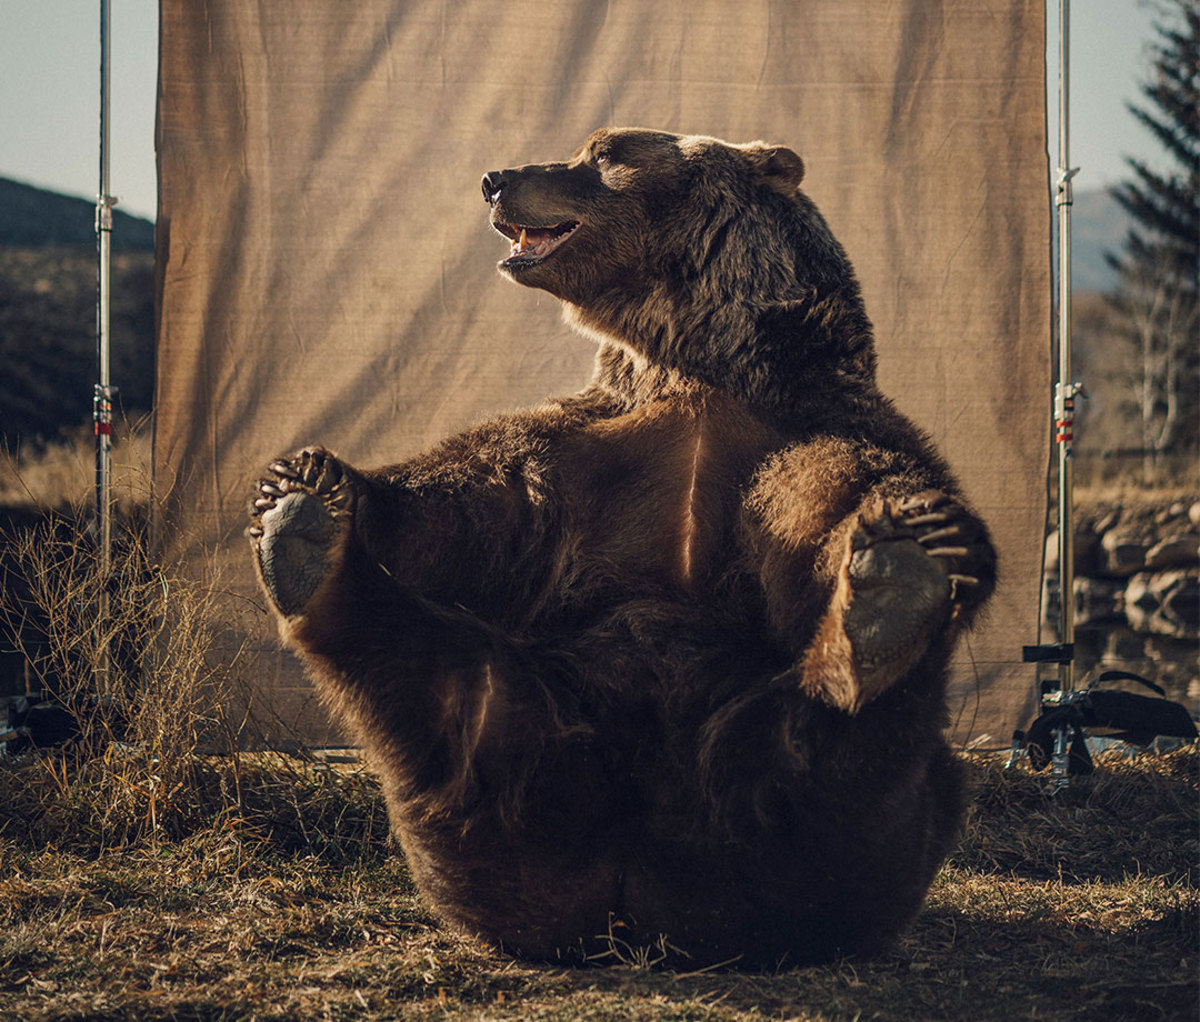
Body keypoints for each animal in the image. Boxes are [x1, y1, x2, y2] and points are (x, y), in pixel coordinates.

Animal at [250, 127, 993, 964]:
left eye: (604, 151)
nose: (494, 176)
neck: (691, 353)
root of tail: (651, 912)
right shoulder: (579, 447)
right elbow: (469, 498)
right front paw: (314, 475)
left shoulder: (806, 422)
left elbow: (839, 496)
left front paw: (908, 541)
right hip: (532, 767)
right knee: (441, 685)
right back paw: (303, 533)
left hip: (831, 805)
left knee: (841, 760)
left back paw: (892, 600)